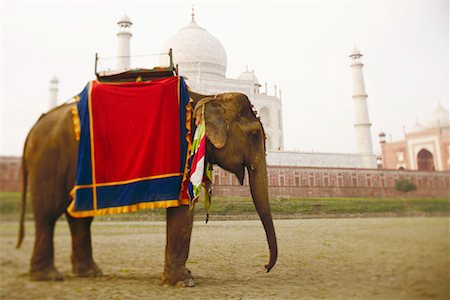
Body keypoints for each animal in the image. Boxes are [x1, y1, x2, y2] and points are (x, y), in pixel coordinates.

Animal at [16, 88, 278, 286]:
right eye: (255, 135)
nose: (264, 266)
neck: (207, 95)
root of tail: (33, 127)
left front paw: (184, 277)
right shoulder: (181, 155)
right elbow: (183, 209)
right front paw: (184, 282)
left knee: (77, 216)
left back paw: (89, 273)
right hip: (50, 159)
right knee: (48, 213)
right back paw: (49, 277)